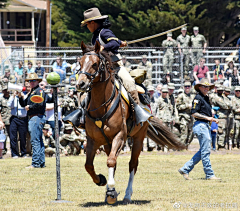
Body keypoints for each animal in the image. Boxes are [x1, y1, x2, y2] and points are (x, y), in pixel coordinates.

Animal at [76, 41, 185, 204]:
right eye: (80, 62)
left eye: (95, 64)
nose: (80, 84)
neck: (101, 105)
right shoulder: (92, 140)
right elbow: (89, 165)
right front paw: (102, 181)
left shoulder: (120, 136)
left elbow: (111, 161)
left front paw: (111, 190)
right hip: (108, 143)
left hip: (139, 138)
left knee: (132, 164)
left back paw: (127, 195)